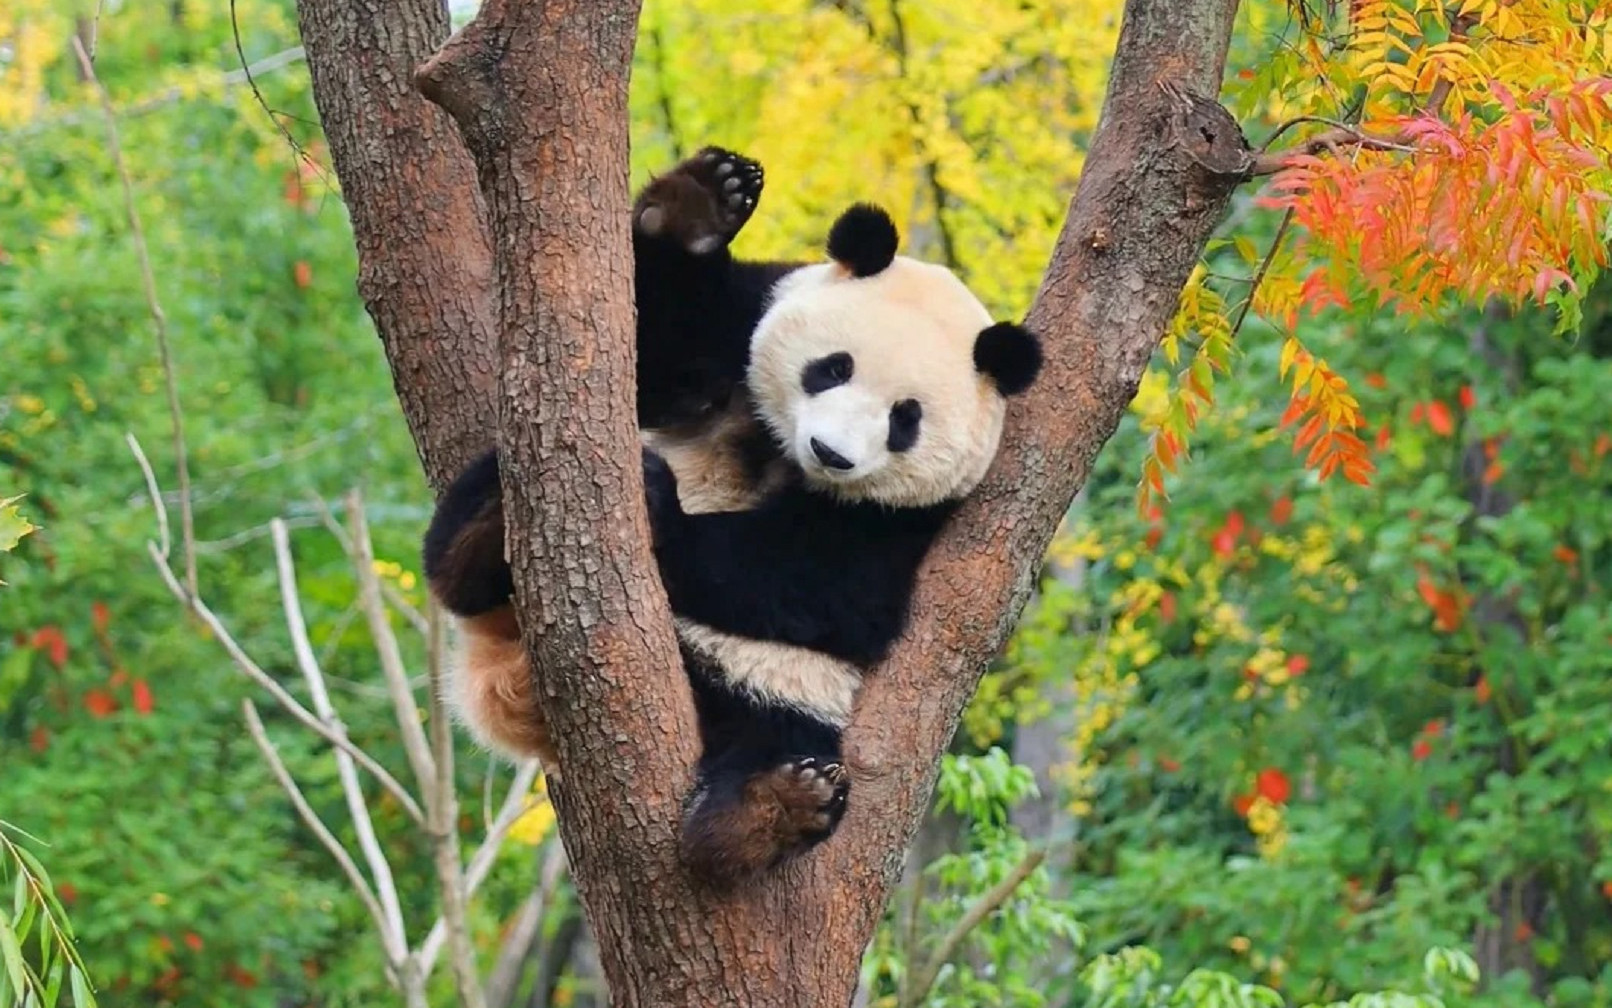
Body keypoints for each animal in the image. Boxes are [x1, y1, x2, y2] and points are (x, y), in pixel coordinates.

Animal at [422, 146, 1043, 883]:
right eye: (832, 368)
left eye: (905, 420)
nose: (831, 452)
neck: (781, 455)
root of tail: (508, 685)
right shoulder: (742, 322)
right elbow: (647, 353)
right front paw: (699, 205)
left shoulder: (911, 520)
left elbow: (825, 583)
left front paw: (664, 513)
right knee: (467, 528)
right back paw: (479, 537)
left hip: (776, 684)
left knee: (773, 733)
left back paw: (769, 809)